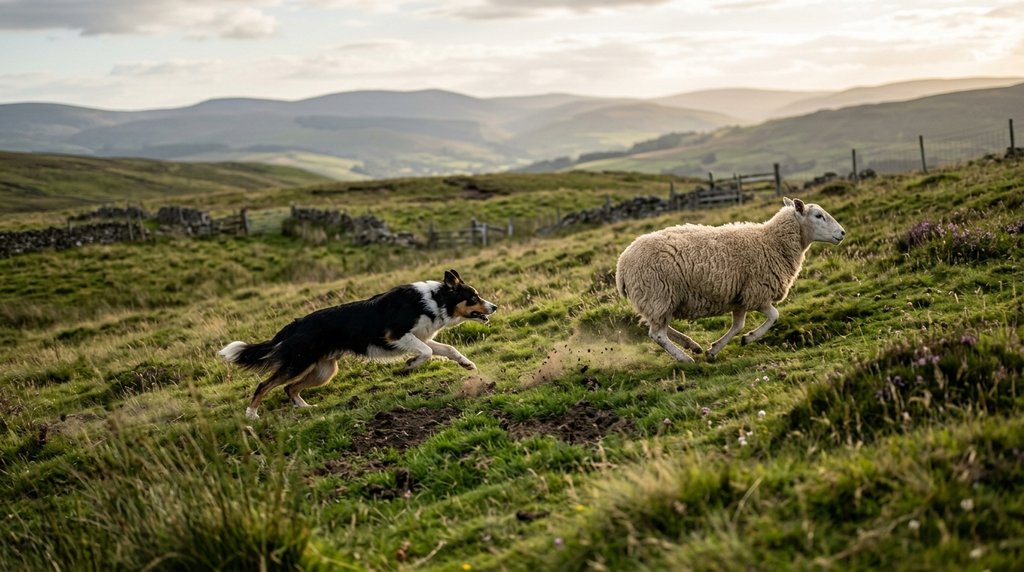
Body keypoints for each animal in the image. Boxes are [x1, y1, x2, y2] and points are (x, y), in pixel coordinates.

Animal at [615, 197, 846, 362]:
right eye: (818, 215)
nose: (842, 233)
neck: (772, 242)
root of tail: (621, 265)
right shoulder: (757, 292)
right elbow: (774, 316)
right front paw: (750, 338)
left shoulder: (739, 296)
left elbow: (738, 325)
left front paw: (714, 350)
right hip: (658, 294)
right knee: (657, 334)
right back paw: (685, 358)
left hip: (658, 300)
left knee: (657, 327)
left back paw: (692, 345)